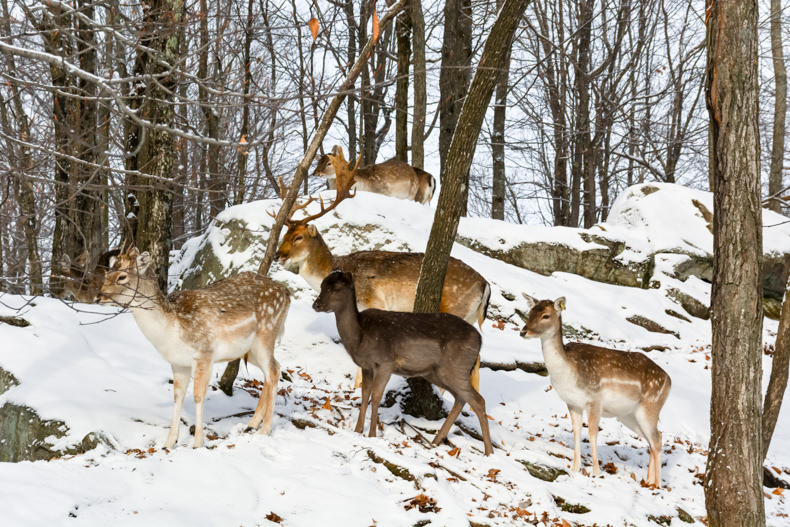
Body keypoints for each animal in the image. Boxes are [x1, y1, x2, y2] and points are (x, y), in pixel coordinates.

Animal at [96, 248, 288, 450]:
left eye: (122, 276)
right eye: (107, 274)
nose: (98, 297)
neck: (171, 328)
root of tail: (286, 292)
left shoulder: (204, 353)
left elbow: (197, 396)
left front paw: (197, 443)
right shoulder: (178, 363)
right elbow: (177, 397)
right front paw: (168, 443)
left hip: (266, 334)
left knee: (273, 371)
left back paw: (265, 429)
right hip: (249, 350)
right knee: (275, 367)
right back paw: (251, 424)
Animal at [276, 155, 492, 390]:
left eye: (298, 237)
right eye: (284, 234)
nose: (278, 255)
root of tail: (485, 285)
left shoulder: (375, 302)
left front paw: (357, 388)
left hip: (455, 309)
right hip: (470, 317)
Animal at [312, 270, 492, 456]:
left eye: (336, 288)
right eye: (322, 285)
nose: (316, 305)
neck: (360, 336)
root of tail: (480, 342)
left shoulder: (385, 363)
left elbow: (376, 397)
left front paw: (372, 434)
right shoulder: (367, 367)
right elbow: (365, 394)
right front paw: (357, 430)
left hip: (456, 368)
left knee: (478, 400)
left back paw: (488, 451)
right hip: (437, 372)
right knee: (460, 398)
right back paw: (435, 441)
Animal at [524, 294, 672, 488]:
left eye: (546, 316)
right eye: (530, 312)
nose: (523, 331)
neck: (568, 372)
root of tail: (669, 381)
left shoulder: (594, 400)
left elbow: (592, 434)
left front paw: (596, 472)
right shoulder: (572, 402)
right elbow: (576, 432)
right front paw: (574, 468)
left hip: (650, 406)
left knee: (657, 439)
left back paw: (657, 485)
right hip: (629, 415)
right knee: (653, 439)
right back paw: (648, 482)